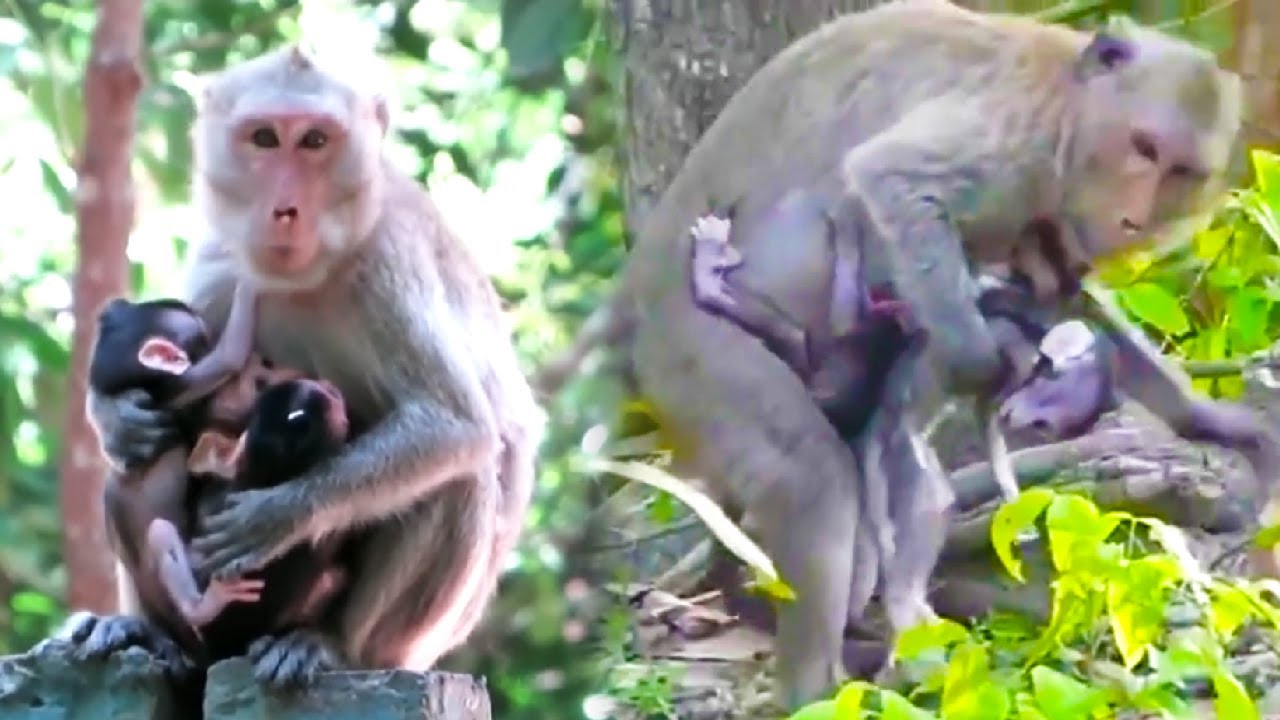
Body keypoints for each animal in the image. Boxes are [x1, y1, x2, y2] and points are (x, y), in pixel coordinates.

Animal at [67, 44, 546, 687]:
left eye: (316, 141)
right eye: (265, 138)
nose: (285, 210)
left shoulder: (389, 257)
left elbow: (455, 424)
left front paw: (277, 515)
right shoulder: (220, 256)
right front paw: (119, 416)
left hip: (410, 643)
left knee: (461, 477)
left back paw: (330, 644)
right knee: (135, 472)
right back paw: (145, 630)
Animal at [531, 5, 1264, 708]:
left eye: (1181, 171)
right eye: (1144, 148)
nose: (1135, 220)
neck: (1070, 109)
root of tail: (643, 273)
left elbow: (1069, 300)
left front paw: (1211, 420)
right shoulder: (1015, 143)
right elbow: (895, 182)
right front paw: (979, 363)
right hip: (690, 348)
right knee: (813, 474)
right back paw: (814, 686)